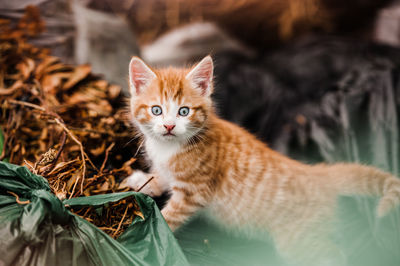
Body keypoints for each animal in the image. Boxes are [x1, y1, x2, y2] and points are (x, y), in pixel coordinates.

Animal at [126, 55, 400, 264]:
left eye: (184, 111)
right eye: (157, 110)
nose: (169, 126)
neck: (168, 147)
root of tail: (316, 172)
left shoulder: (194, 192)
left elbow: (171, 215)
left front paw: (155, 236)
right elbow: (161, 176)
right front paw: (142, 182)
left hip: (298, 240)